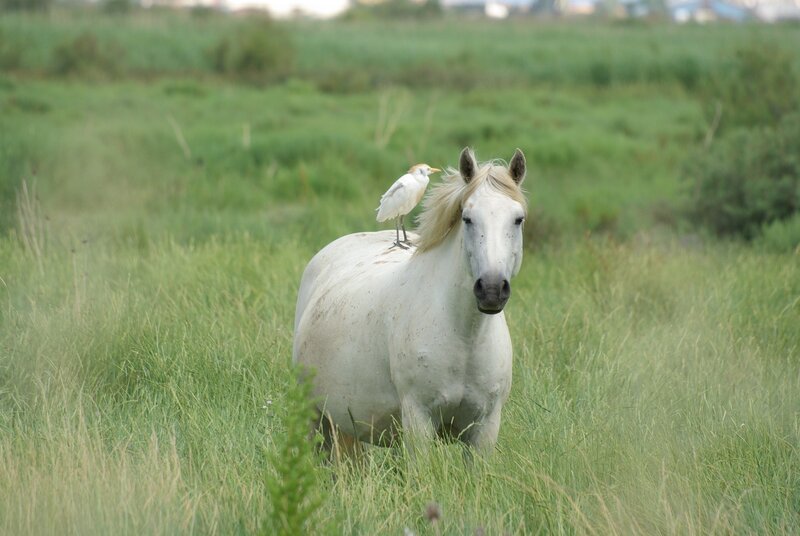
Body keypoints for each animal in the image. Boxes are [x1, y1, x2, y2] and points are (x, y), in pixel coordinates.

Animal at [292, 147, 527, 458]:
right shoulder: (418, 420)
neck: (465, 337)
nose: (491, 289)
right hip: (314, 417)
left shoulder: (486, 426)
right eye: (467, 218)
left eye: (518, 219)